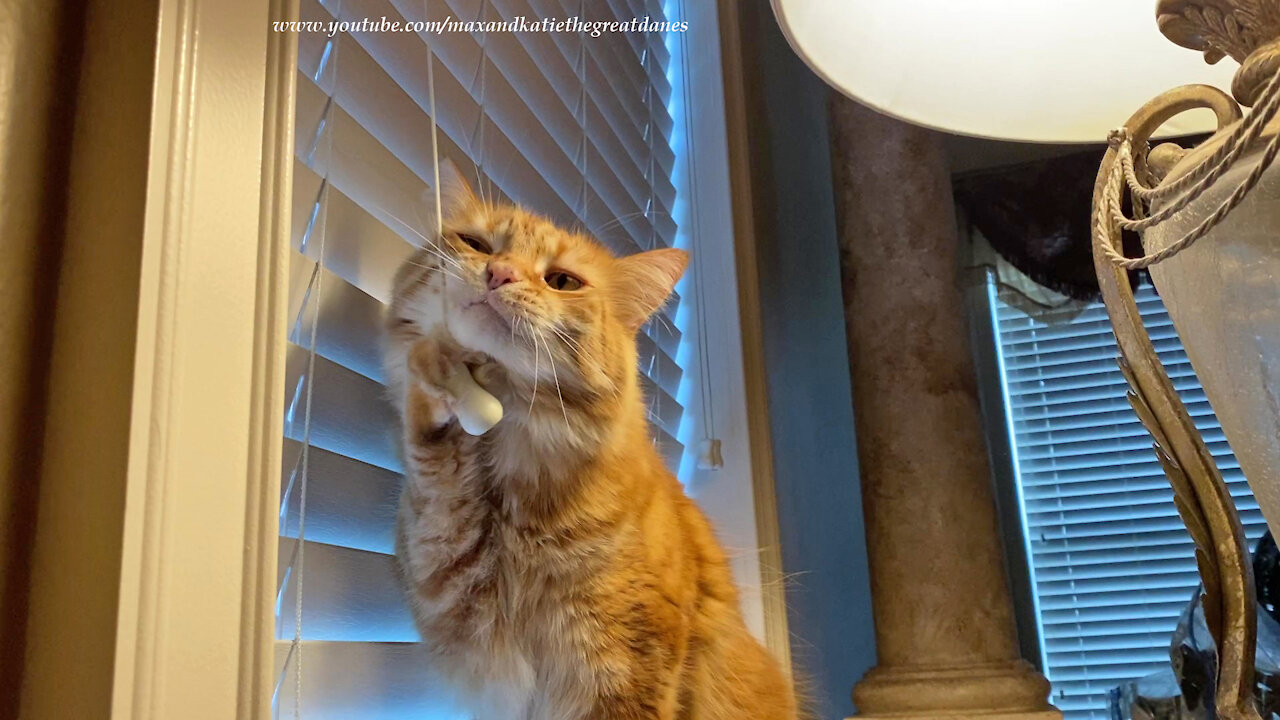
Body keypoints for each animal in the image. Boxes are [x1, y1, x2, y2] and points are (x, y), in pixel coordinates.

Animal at [384, 162, 793, 717]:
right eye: (476, 244)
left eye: (562, 281)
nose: (499, 273)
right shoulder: (450, 590)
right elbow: (434, 467)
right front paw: (437, 368)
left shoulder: (620, 671)